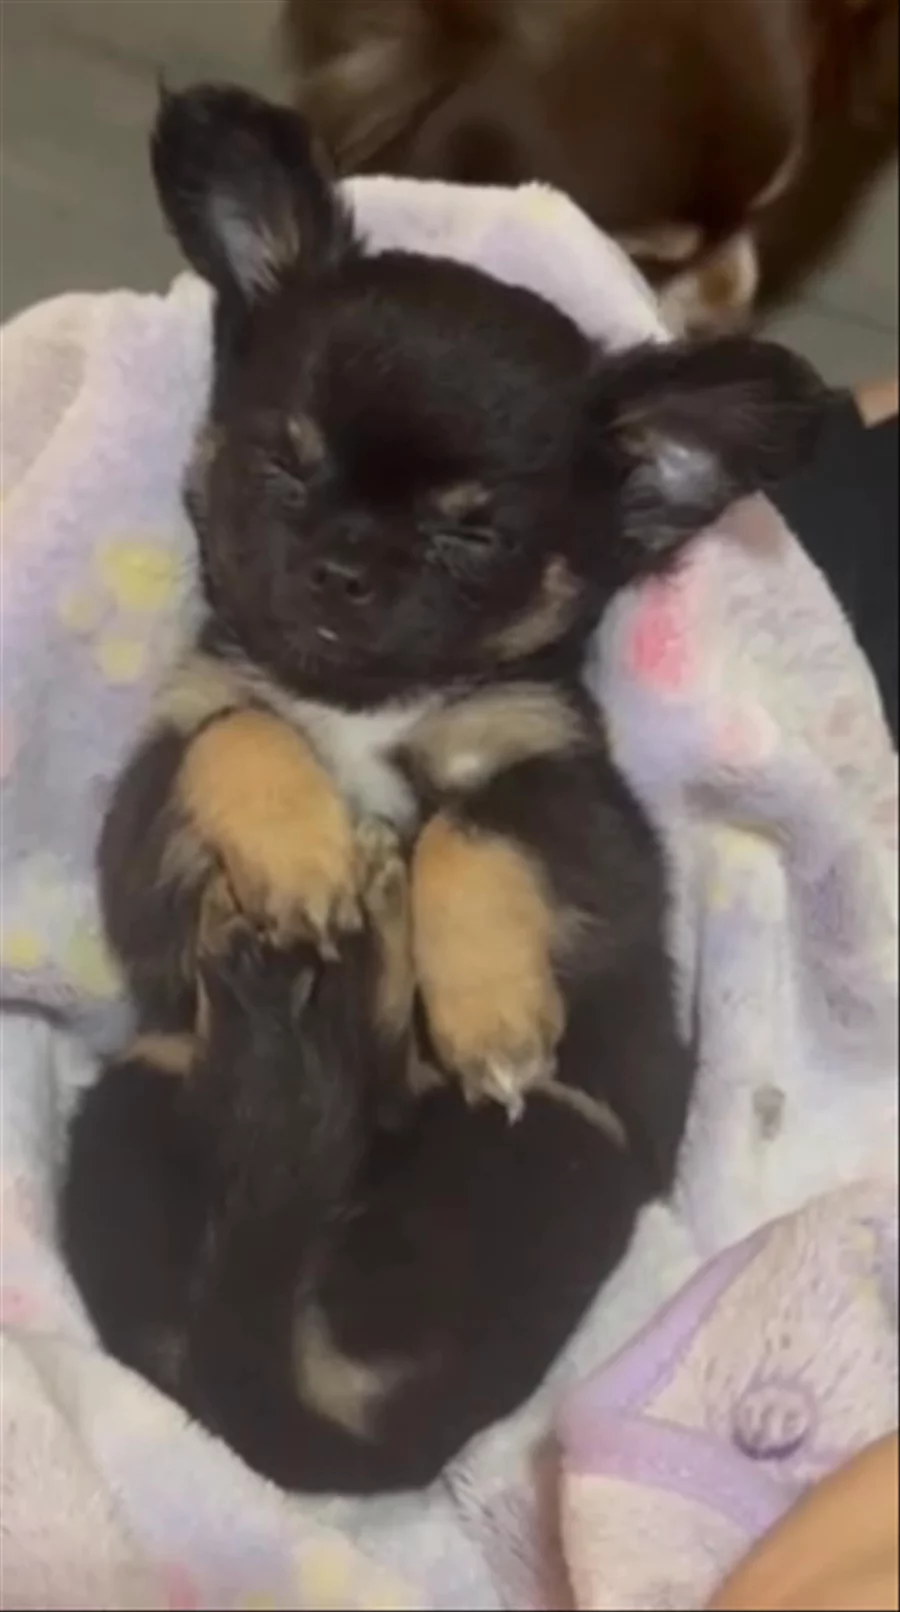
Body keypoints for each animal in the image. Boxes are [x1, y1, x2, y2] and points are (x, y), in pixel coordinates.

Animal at [60, 84, 831, 1493]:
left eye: (474, 533)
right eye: (282, 468)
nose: (343, 567)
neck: (368, 705)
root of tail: (344, 1453)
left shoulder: (581, 815)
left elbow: (468, 830)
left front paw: (483, 1006)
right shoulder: (151, 826)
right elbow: (238, 732)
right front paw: (307, 856)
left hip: (540, 1137)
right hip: (151, 1071)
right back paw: (312, 996)